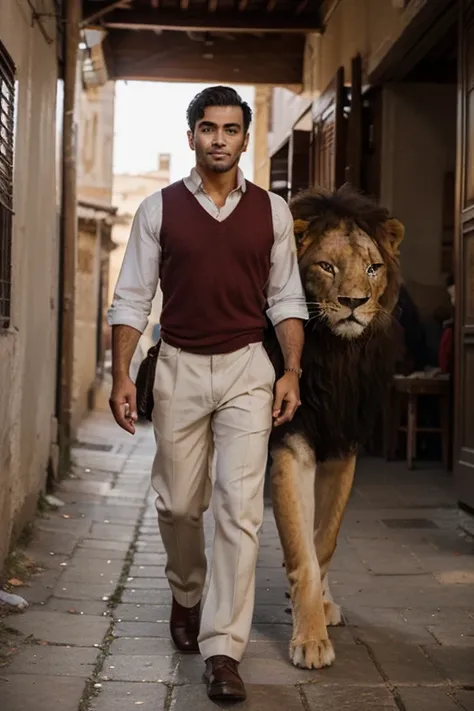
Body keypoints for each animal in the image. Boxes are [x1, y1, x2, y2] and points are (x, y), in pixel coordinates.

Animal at [262, 185, 404, 672]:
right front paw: (309, 640)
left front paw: (317, 611)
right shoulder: (292, 442)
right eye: (326, 266)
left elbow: (323, 542)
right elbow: (301, 551)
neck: (335, 358)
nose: (354, 304)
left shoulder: (343, 447)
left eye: (373, 268)